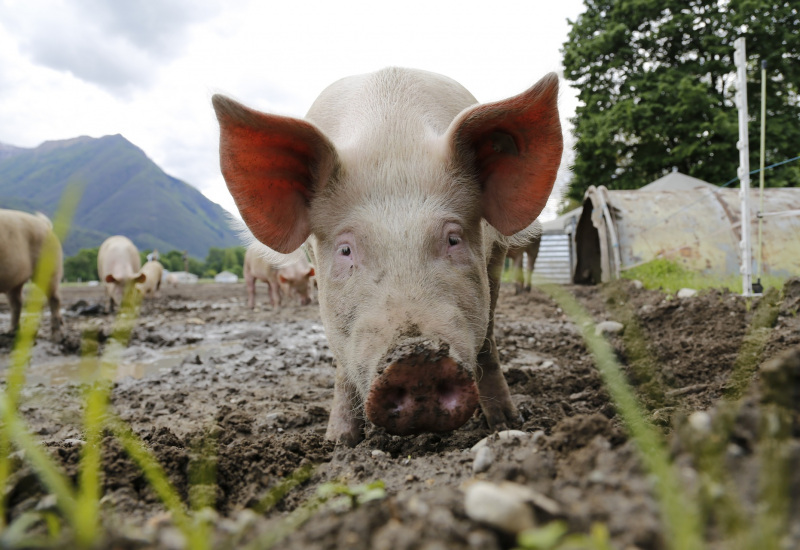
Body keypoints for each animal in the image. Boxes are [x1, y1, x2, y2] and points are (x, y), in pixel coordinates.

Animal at [0, 210, 63, 342]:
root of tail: (45, 224)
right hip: (15, 280)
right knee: (17, 301)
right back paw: (10, 332)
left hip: (50, 269)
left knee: (55, 299)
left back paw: (56, 337)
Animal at [212, 67, 564, 446]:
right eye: (345, 249)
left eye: (453, 239)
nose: (415, 360)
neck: (392, 139)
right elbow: (342, 362)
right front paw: (338, 442)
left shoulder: (494, 253)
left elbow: (487, 339)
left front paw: (506, 425)